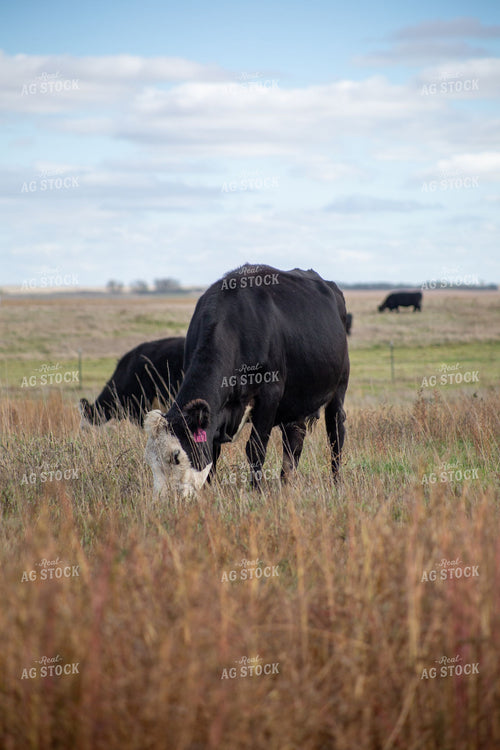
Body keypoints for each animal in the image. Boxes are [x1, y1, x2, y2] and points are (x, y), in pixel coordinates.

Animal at [144, 264, 349, 498]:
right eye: (150, 461)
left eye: (176, 456)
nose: (165, 500)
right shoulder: (216, 413)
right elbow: (213, 452)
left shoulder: (270, 394)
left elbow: (255, 448)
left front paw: (257, 492)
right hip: (297, 401)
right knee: (294, 441)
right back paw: (286, 485)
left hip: (338, 389)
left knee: (335, 435)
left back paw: (336, 483)